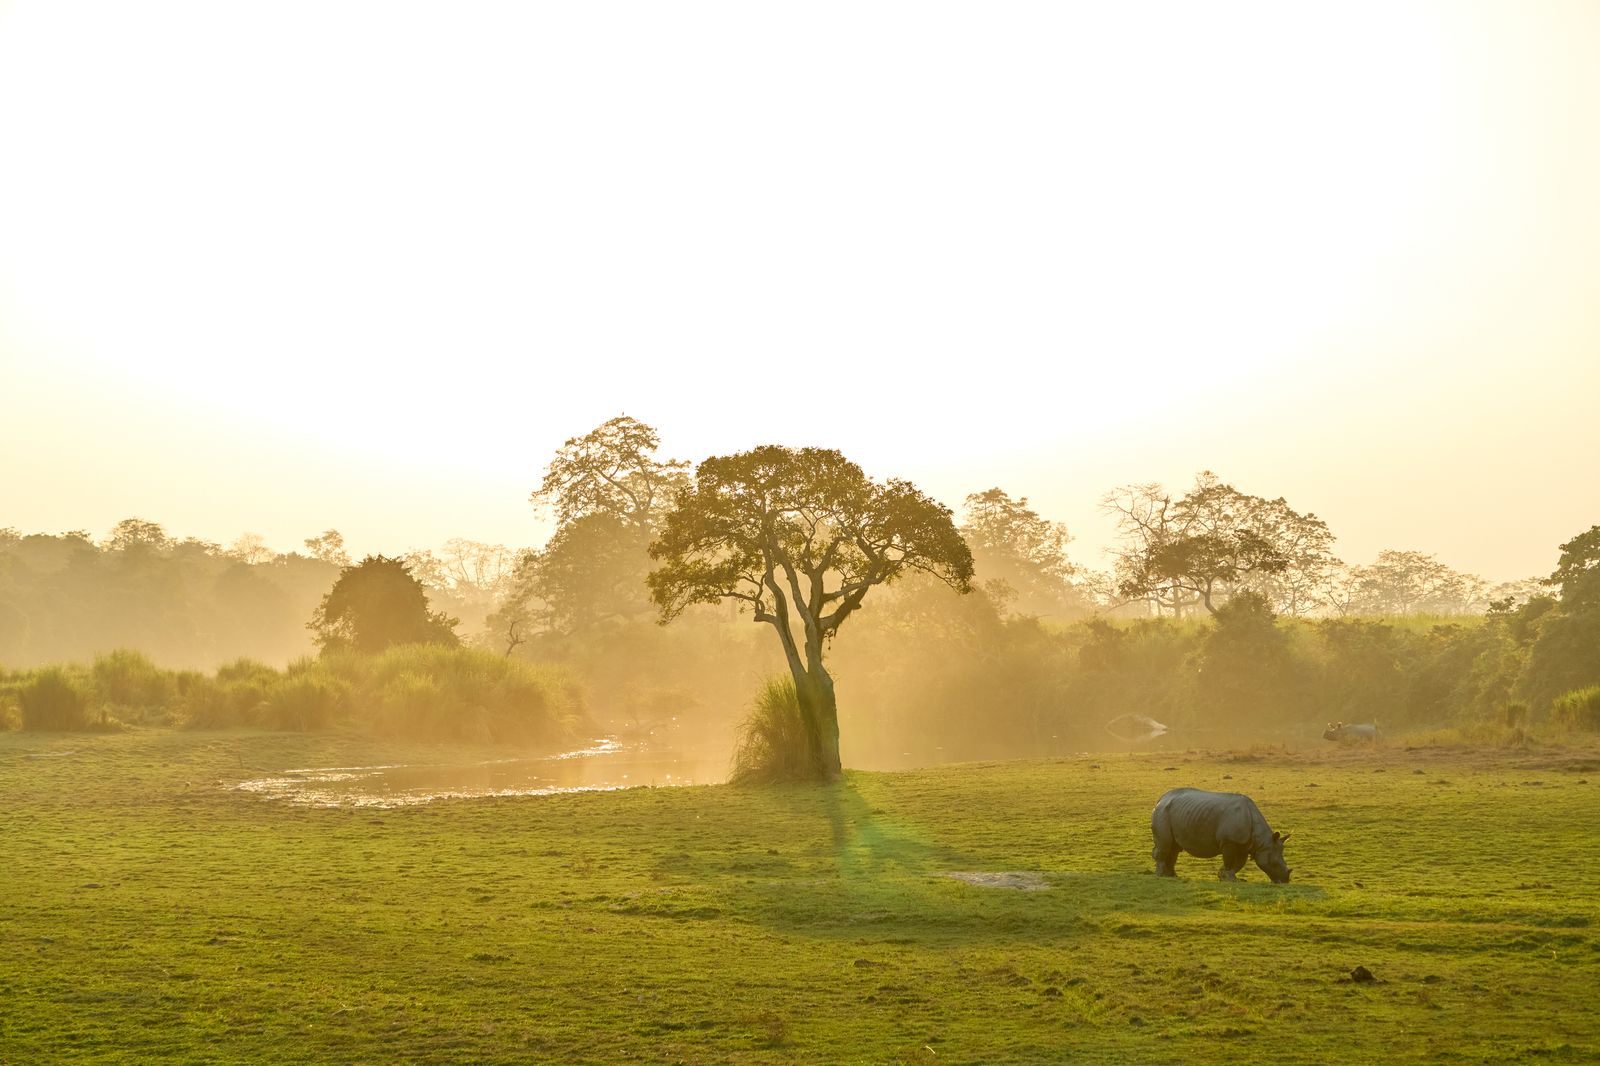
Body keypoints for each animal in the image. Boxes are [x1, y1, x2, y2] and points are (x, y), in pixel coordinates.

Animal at [1150, 787, 1292, 883]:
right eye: (1274, 863)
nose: (1285, 880)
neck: (1262, 841)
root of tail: (1161, 799)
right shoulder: (1229, 841)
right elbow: (1229, 860)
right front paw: (1229, 879)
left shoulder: (1244, 844)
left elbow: (1239, 863)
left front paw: (1227, 877)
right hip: (1163, 812)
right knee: (1166, 844)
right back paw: (1161, 875)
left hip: (1175, 812)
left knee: (1174, 848)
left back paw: (1172, 876)